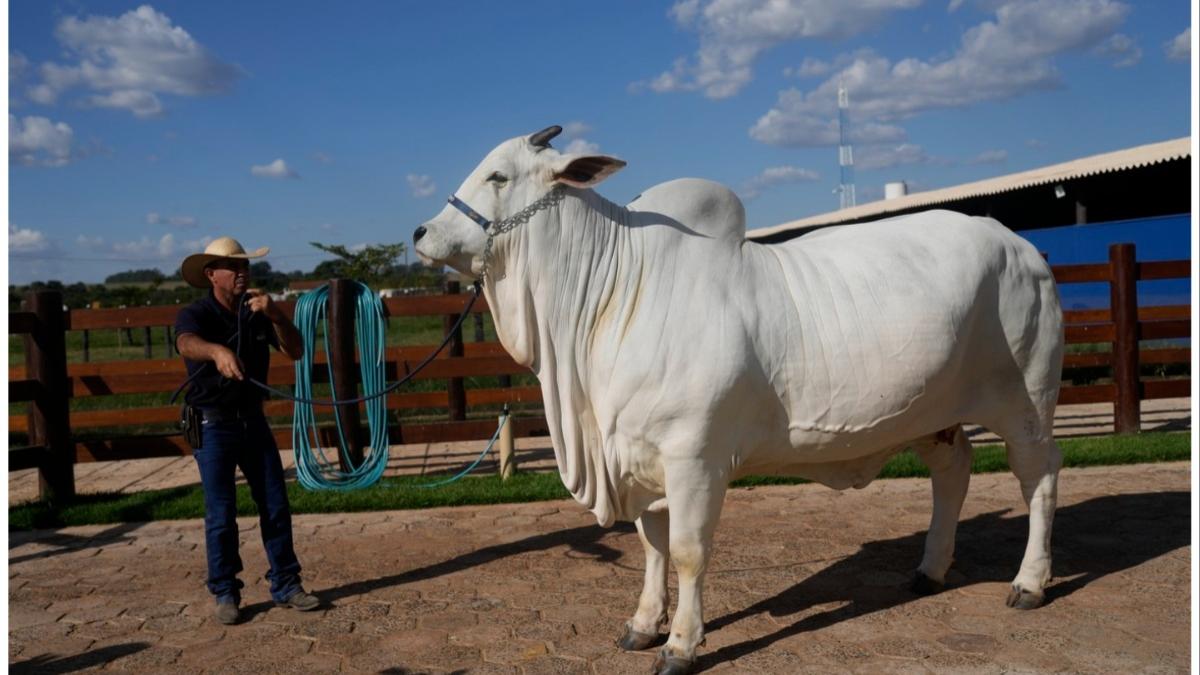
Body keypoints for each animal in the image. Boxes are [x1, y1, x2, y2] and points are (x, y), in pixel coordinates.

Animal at [413, 126, 1063, 674]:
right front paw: (643, 624)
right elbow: (651, 547)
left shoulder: (693, 459)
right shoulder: (641, 458)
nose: (421, 233)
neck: (612, 297)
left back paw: (1029, 583)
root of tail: (1021, 246)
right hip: (937, 416)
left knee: (1039, 478)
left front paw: (680, 644)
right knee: (953, 473)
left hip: (1026, 404)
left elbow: (687, 552)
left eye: (499, 175)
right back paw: (930, 569)